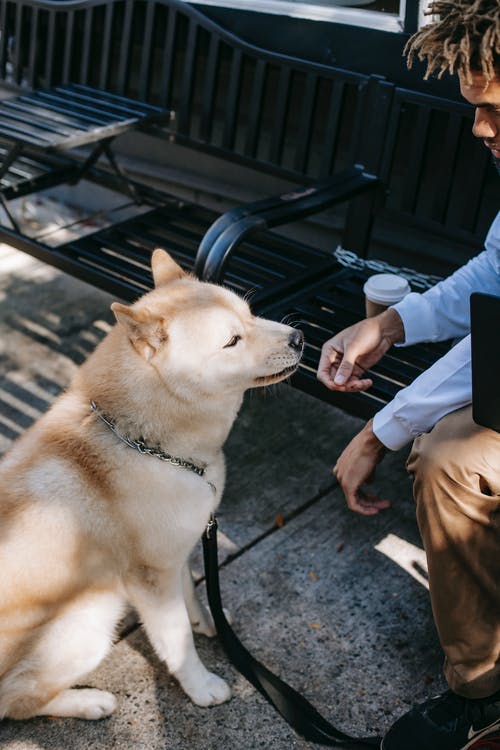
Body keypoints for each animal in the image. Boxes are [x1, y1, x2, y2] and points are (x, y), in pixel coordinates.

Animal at [0, 251, 304, 724]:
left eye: (250, 314)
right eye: (232, 341)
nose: (299, 337)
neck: (149, 444)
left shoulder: (175, 551)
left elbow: (192, 591)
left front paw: (211, 622)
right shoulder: (149, 577)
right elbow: (176, 641)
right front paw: (201, 687)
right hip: (93, 618)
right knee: (16, 701)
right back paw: (89, 702)